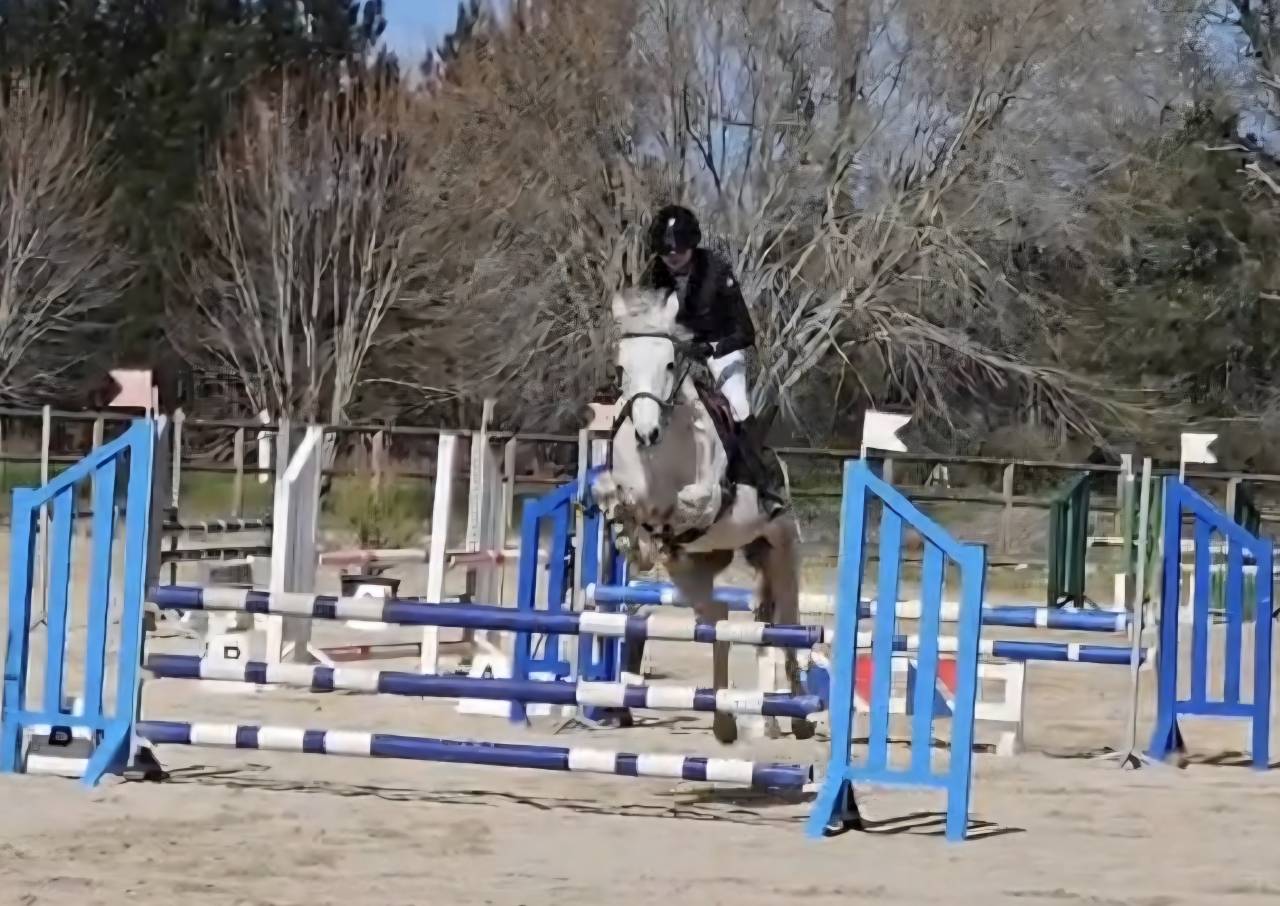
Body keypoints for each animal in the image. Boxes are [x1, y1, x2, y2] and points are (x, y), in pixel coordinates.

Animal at [591, 288, 817, 744]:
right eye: (622, 367)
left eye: (669, 364)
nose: (646, 434)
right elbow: (612, 493)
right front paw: (629, 533)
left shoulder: (709, 497)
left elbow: (690, 502)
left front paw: (657, 530)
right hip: (694, 574)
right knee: (719, 623)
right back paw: (724, 721)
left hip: (781, 548)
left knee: (787, 624)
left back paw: (799, 717)